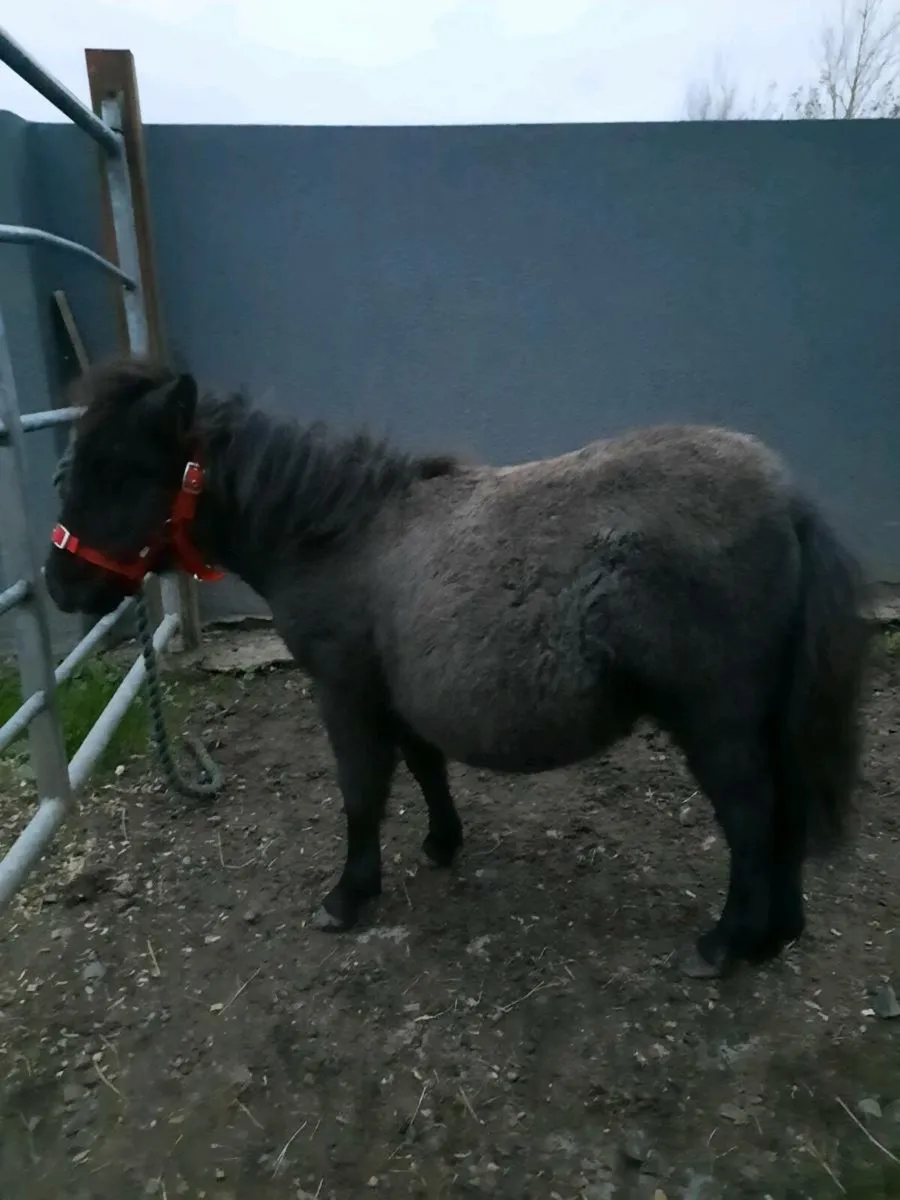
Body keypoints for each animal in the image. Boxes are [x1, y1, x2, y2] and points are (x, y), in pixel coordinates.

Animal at [43, 357, 870, 979]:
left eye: (119, 469)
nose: (58, 585)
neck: (338, 533)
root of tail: (788, 500)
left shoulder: (344, 693)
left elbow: (363, 794)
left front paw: (349, 895)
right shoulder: (397, 693)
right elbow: (424, 766)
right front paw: (442, 844)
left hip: (716, 723)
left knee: (753, 818)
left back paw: (726, 943)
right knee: (787, 812)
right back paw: (777, 933)